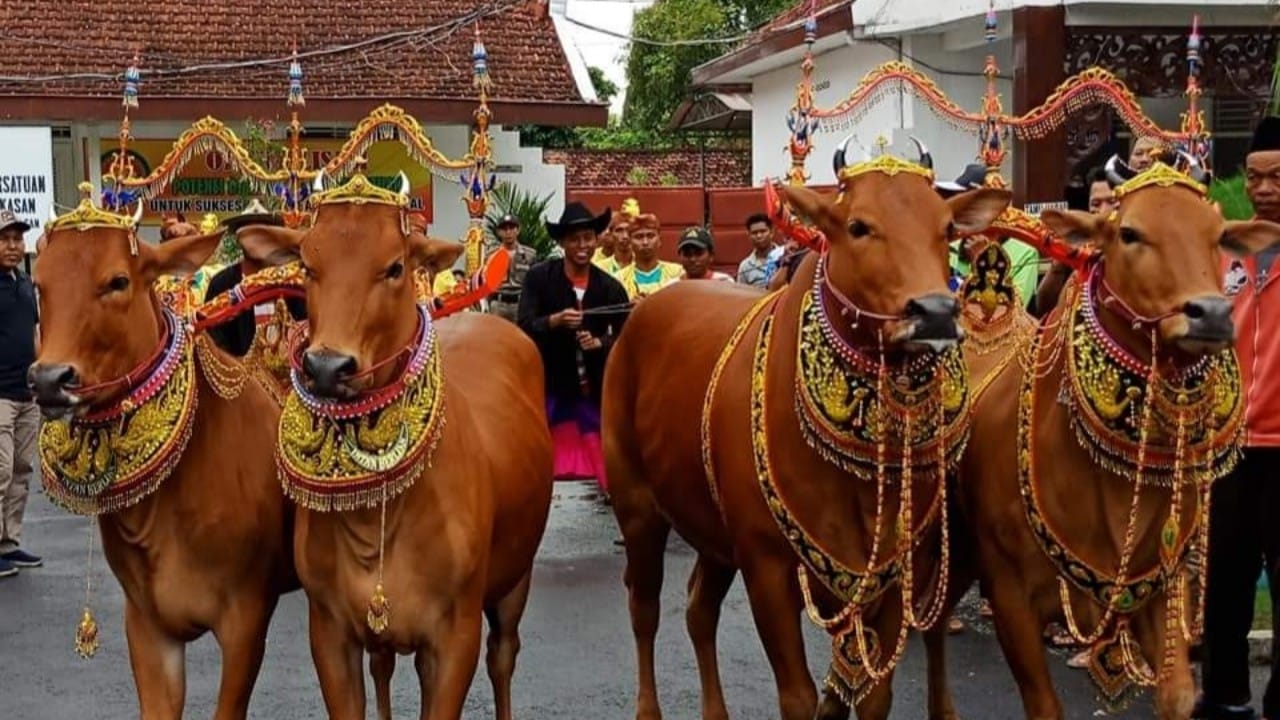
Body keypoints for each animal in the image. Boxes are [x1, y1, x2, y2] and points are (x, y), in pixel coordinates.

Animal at [240, 174, 555, 717]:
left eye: (394, 267)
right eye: (308, 265)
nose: (327, 367)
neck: (377, 521)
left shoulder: (454, 635)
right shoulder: (330, 630)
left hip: (516, 578)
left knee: (503, 657)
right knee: (384, 666)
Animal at [604, 141, 1013, 717]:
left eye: (946, 228)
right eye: (858, 226)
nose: (934, 312)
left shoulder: (891, 572)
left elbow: (869, 693)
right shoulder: (766, 566)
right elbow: (797, 695)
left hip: (710, 528)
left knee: (698, 609)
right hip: (636, 504)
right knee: (644, 607)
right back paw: (648, 707)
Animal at [957, 158, 1280, 717]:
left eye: (1218, 236)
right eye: (1129, 233)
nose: (1213, 314)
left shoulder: (1165, 584)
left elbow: (1177, 694)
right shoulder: (1010, 595)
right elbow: (1044, 704)